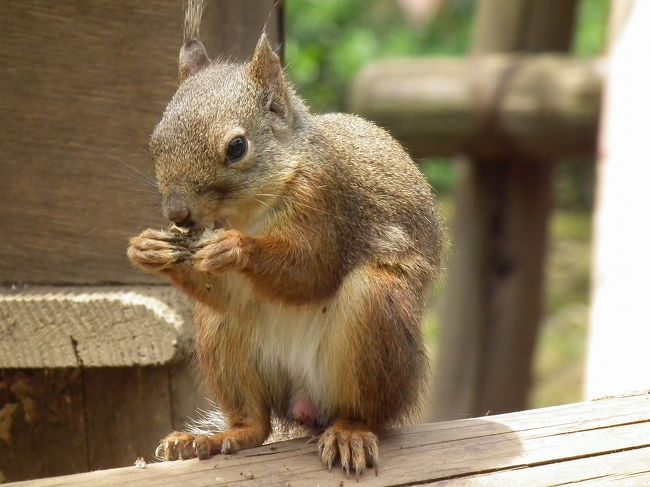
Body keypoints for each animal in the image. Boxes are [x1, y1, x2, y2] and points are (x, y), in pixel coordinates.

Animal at [124, 0, 442, 480]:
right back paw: (214, 438)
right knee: (255, 421)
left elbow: (312, 270)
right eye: (154, 141)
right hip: (223, 336)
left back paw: (350, 432)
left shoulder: (327, 200)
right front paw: (147, 248)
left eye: (237, 147)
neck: (250, 213)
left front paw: (234, 248)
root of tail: (305, 404)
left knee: (366, 411)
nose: (178, 215)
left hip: (376, 315)